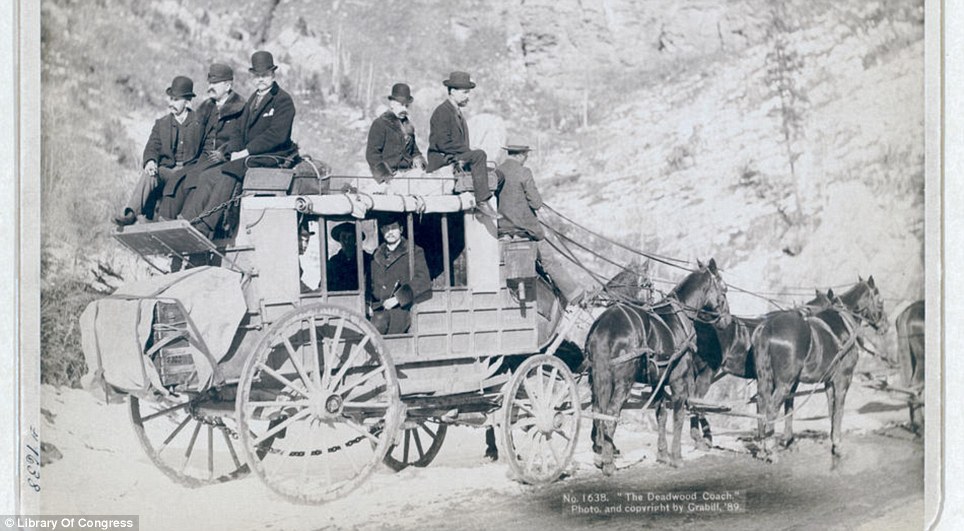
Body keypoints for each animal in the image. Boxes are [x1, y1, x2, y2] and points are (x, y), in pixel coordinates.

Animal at [588, 258, 732, 474]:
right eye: (724, 289)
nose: (728, 319)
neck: (679, 317)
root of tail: (605, 325)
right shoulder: (679, 380)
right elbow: (678, 415)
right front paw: (676, 457)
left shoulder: (657, 382)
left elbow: (661, 415)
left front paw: (663, 454)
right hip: (624, 382)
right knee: (611, 413)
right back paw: (608, 463)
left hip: (597, 379)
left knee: (598, 410)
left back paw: (601, 456)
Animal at [752, 276, 888, 460]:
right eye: (880, 300)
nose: (885, 326)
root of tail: (768, 327)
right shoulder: (843, 379)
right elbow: (839, 410)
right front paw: (837, 445)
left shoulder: (828, 382)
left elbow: (830, 410)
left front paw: (832, 442)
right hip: (784, 383)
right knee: (772, 409)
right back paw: (771, 451)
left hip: (766, 380)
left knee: (761, 405)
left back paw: (762, 447)